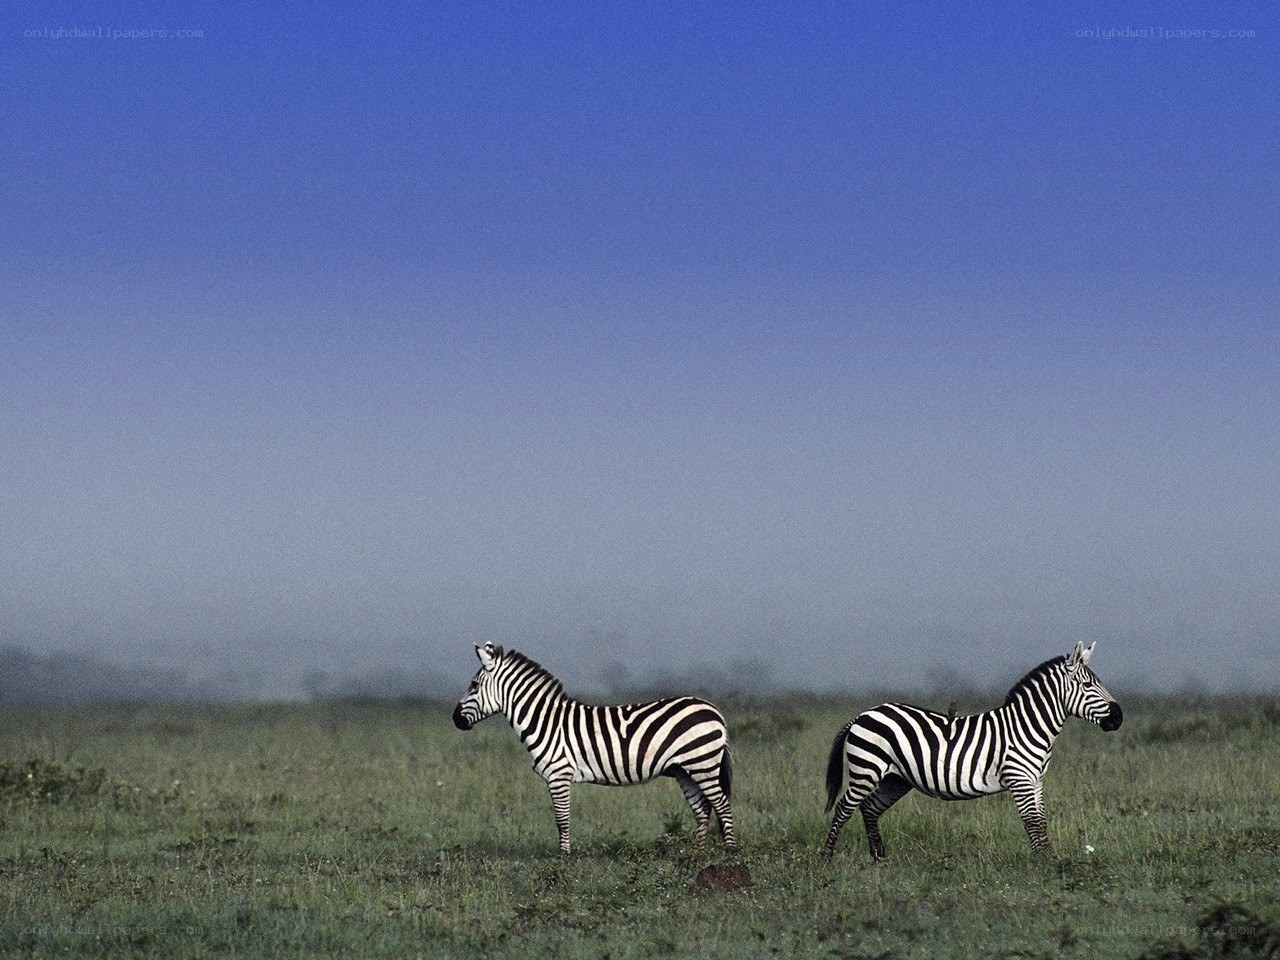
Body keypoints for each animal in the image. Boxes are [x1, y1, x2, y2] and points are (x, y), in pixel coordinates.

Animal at [452, 643, 738, 856]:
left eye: (474, 685)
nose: (454, 719)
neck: (545, 721)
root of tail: (714, 710)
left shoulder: (559, 775)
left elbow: (562, 819)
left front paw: (563, 858)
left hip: (702, 762)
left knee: (722, 805)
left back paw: (730, 853)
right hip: (685, 769)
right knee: (702, 810)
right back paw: (697, 856)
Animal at [823, 642, 1123, 859]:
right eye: (1088, 685)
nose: (1119, 718)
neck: (1027, 725)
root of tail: (863, 714)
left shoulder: (1036, 780)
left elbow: (1042, 820)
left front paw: (1050, 858)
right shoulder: (1020, 779)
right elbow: (1032, 821)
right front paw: (1043, 864)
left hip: (895, 779)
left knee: (869, 808)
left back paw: (879, 857)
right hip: (866, 769)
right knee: (844, 808)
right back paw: (827, 857)